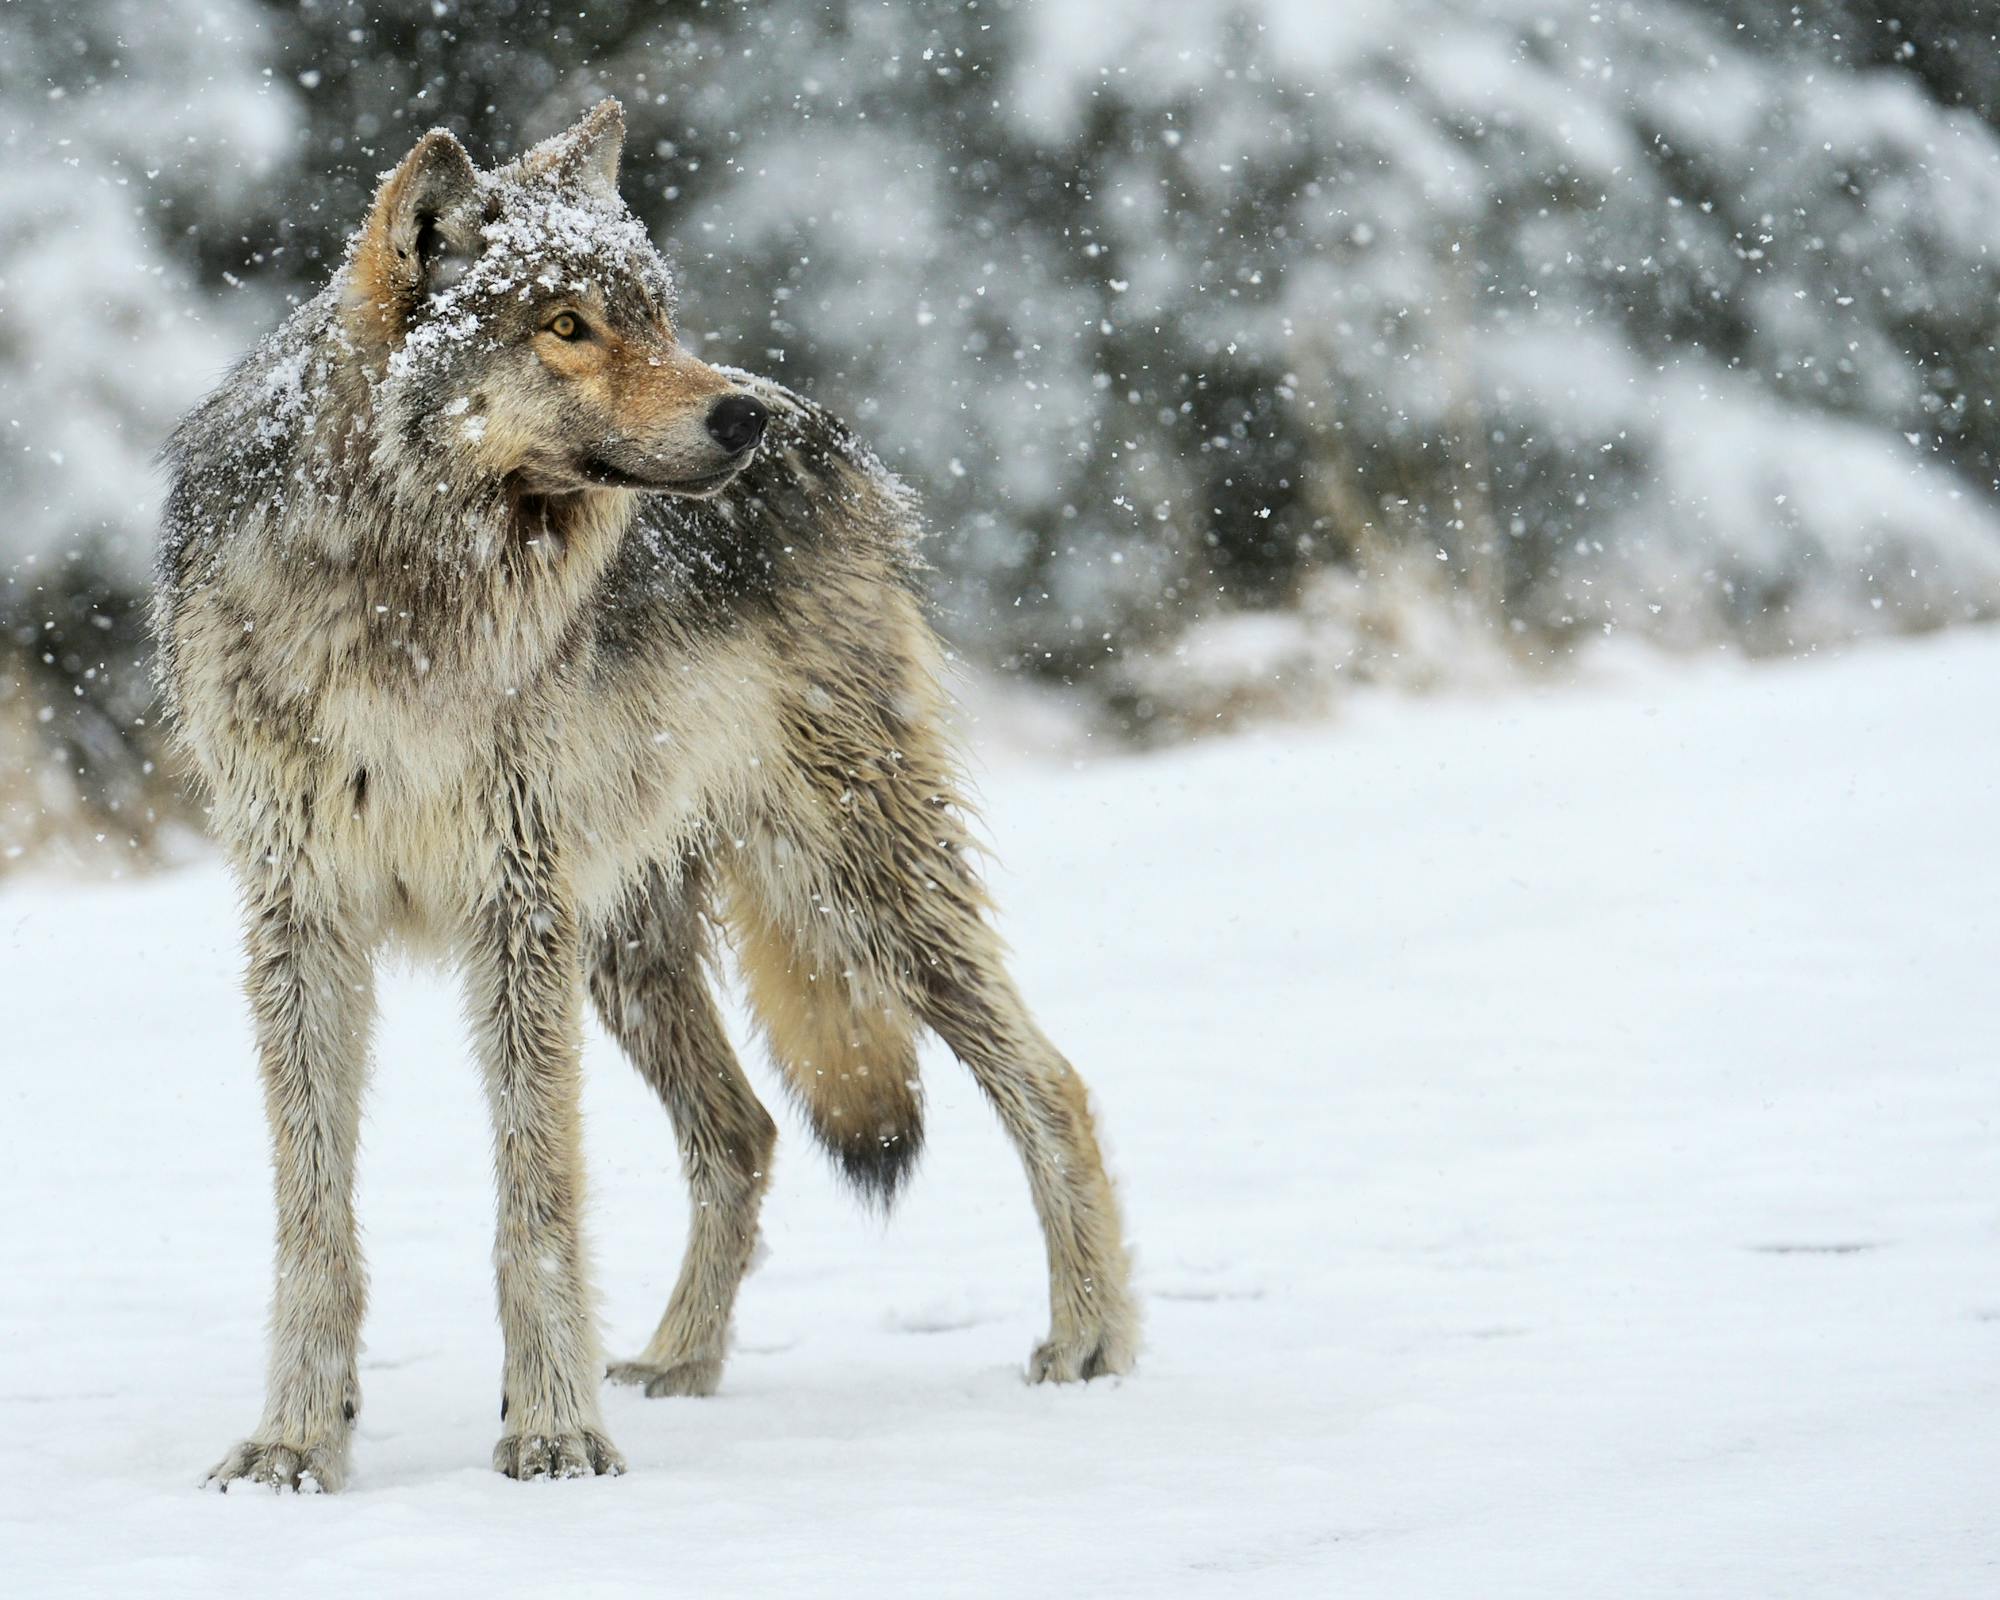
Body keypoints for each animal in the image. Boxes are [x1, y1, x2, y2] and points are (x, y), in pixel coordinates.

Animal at [150, 106, 1136, 1496]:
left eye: (655, 315)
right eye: (566, 324)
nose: (739, 419)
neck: (402, 597)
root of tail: (830, 429)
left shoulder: (513, 910)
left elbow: (538, 1200)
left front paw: (553, 1433)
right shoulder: (303, 921)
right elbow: (313, 1217)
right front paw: (296, 1442)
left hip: (853, 883)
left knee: (1050, 1082)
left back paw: (1090, 1341)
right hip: (627, 943)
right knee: (744, 1131)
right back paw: (679, 1362)